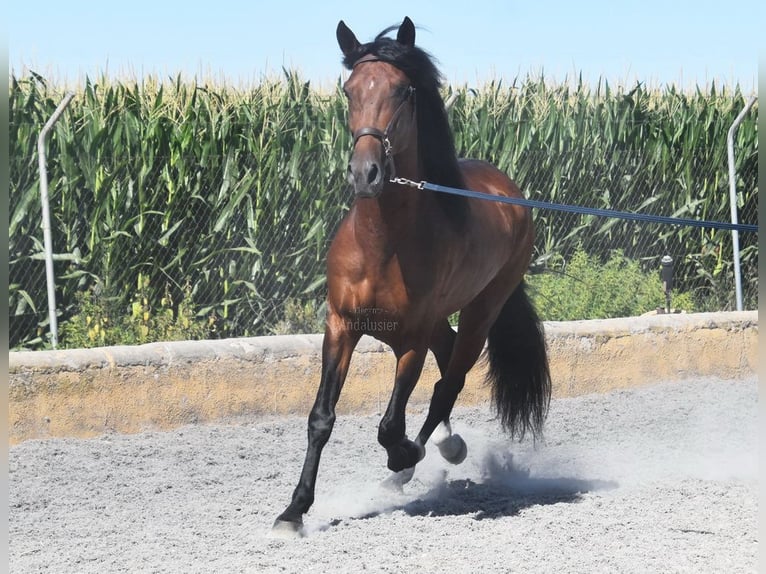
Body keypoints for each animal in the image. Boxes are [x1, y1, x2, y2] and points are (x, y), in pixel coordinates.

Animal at [272, 16, 548, 540]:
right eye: (349, 89)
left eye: (403, 91)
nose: (365, 173)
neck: (382, 244)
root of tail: (511, 193)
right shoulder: (340, 327)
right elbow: (321, 418)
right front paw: (293, 511)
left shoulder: (409, 343)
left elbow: (390, 427)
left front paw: (405, 456)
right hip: (440, 319)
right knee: (447, 361)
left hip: (483, 310)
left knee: (449, 382)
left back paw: (429, 455)